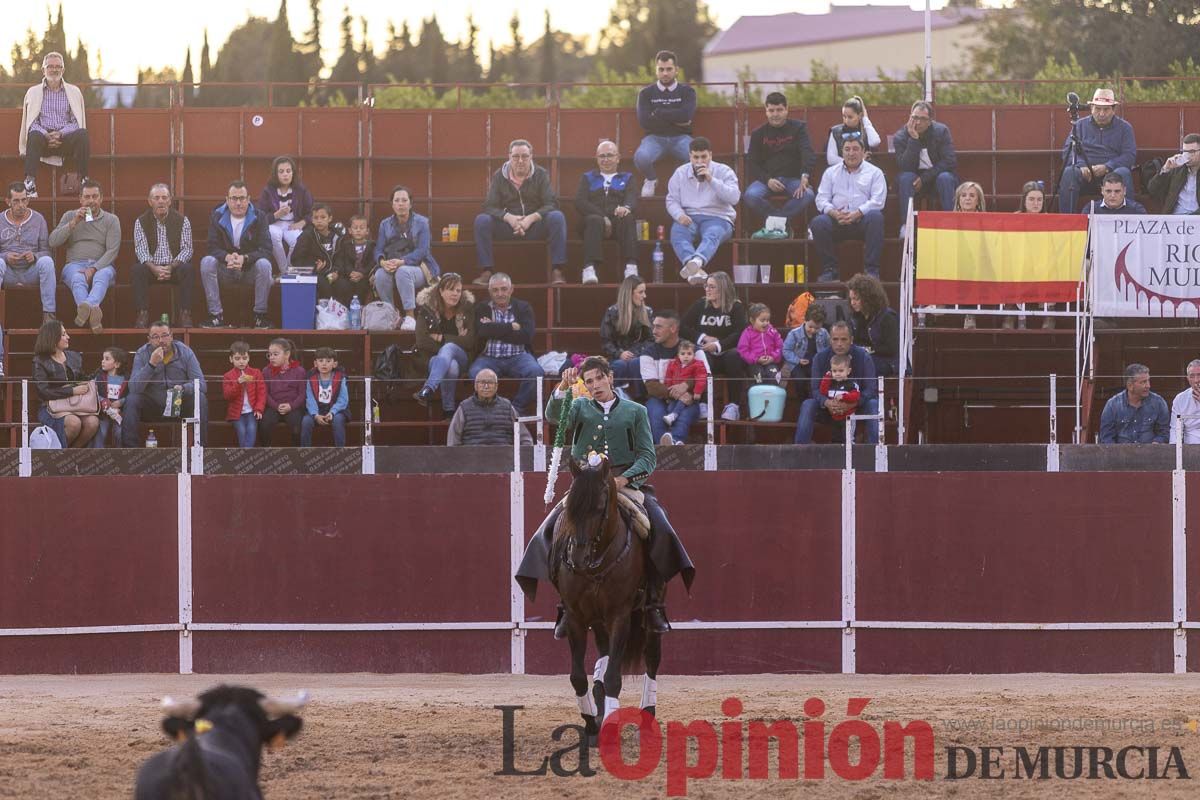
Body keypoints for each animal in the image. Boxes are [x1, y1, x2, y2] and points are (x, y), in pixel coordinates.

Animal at [549, 455, 662, 738]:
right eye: (571, 507)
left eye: (600, 507)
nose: (577, 558)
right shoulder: (576, 617)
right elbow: (578, 676)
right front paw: (591, 722)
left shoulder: (620, 616)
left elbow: (613, 677)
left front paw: (609, 724)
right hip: (598, 621)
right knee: (603, 654)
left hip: (648, 615)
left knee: (652, 658)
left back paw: (648, 714)